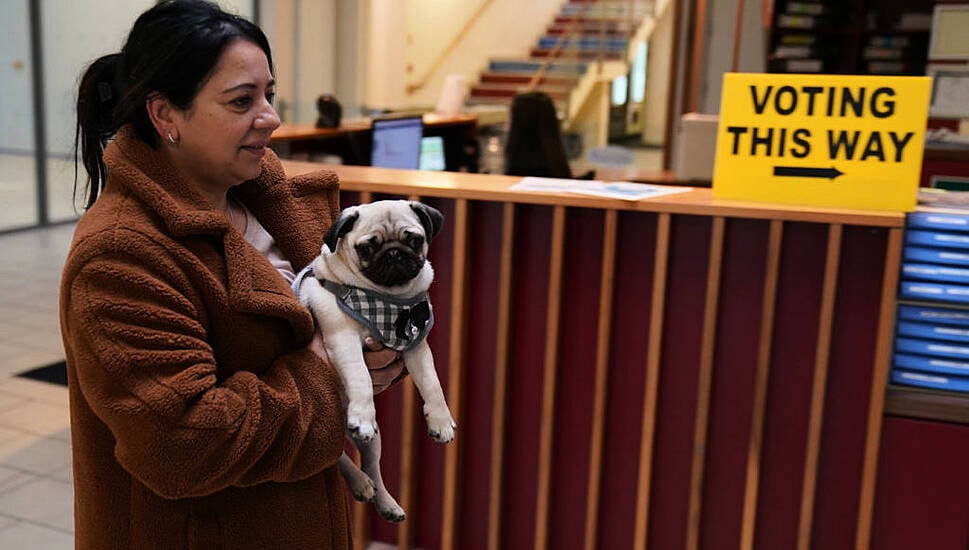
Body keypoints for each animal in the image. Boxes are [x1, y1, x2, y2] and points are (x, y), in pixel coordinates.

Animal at [294, 201, 456, 524]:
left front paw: (441, 421)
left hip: (373, 443)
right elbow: (361, 378)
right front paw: (363, 413)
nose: (394, 253)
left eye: (414, 240)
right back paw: (359, 481)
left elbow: (432, 383)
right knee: (340, 457)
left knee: (372, 467)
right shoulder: (343, 338)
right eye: (368, 248)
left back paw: (384, 501)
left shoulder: (416, 345)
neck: (387, 297)